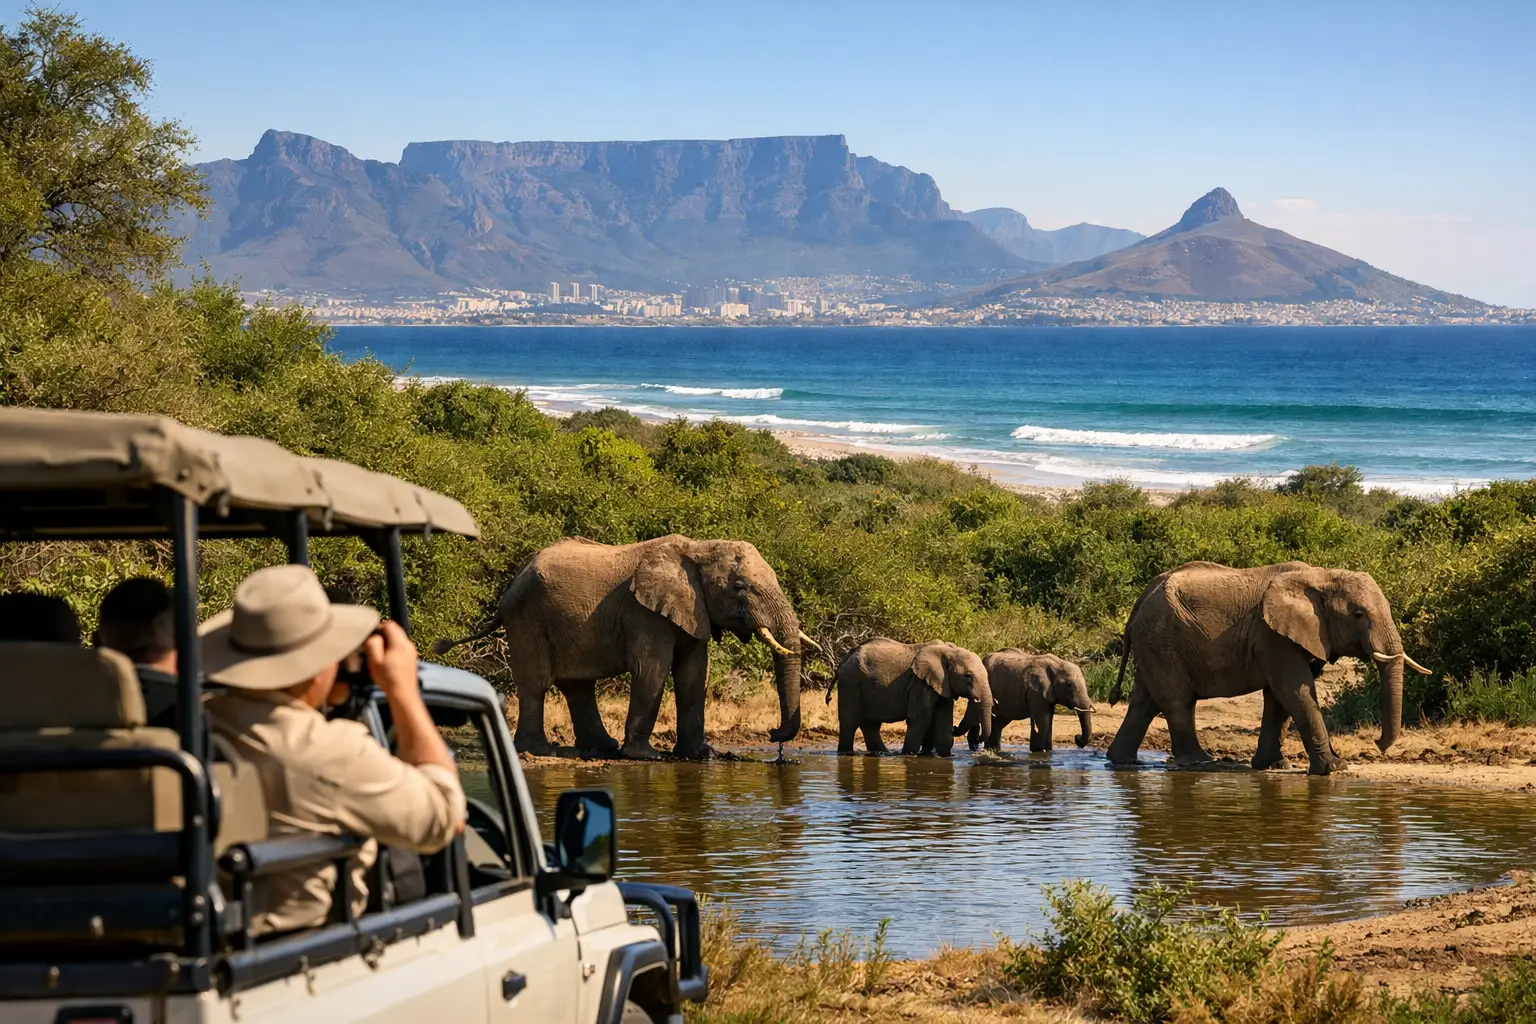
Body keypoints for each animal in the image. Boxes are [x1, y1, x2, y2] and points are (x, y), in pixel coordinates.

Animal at [433, 535, 816, 760]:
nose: (774, 736)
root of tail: (512, 581)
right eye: (740, 587)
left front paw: (700, 754)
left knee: (578, 687)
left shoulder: (694, 610)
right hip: (527, 618)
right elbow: (652, 669)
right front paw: (645, 756)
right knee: (536, 685)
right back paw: (537, 750)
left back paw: (600, 748)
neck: (697, 548)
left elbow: (693, 674)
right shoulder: (644, 612)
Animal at [831, 638, 991, 756]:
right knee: (850, 722)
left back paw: (882, 752)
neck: (949, 650)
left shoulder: (942, 684)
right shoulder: (920, 684)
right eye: (968, 676)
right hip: (851, 682)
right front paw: (909, 754)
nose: (956, 727)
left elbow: (943, 718)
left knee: (871, 724)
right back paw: (846, 753)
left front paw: (945, 755)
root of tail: (845, 658)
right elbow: (918, 719)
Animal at [956, 650, 1093, 752]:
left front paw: (1048, 752)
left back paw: (991, 749)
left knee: (998, 722)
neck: (1056, 663)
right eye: (1069, 685)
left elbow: (1048, 720)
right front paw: (1038, 752)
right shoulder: (1036, 692)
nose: (1077, 737)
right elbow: (1043, 721)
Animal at [1104, 560, 1431, 776]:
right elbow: (1296, 692)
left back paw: (1121, 761)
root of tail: (1140, 601)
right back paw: (1201, 762)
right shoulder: (1273, 636)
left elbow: (1280, 698)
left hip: (1153, 643)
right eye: (1358, 614)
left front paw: (1275, 766)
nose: (1377, 743)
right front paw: (1335, 767)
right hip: (1162, 640)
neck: (1320, 576)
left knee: (1144, 701)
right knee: (1177, 701)